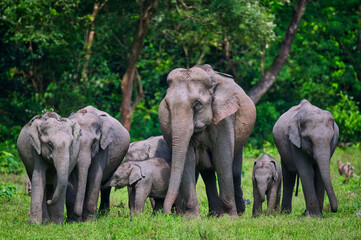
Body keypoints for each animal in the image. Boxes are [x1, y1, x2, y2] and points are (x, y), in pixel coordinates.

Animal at [158, 64, 256, 218]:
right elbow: (188, 159)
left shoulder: (225, 118)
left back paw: (238, 212)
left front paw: (228, 218)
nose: (168, 213)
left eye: (197, 105)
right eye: (167, 105)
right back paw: (213, 215)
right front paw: (192, 218)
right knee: (208, 173)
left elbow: (222, 158)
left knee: (234, 170)